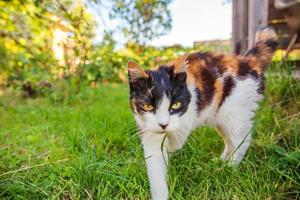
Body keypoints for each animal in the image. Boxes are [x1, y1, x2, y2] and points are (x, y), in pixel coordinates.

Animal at [126, 27, 276, 200]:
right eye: (148, 106)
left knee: (242, 141)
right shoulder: (147, 129)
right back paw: (220, 163)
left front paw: (170, 149)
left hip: (236, 112)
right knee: (230, 142)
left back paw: (229, 169)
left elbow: (176, 141)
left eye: (175, 104)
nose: (163, 124)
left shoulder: (187, 118)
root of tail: (245, 60)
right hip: (220, 117)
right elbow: (155, 166)